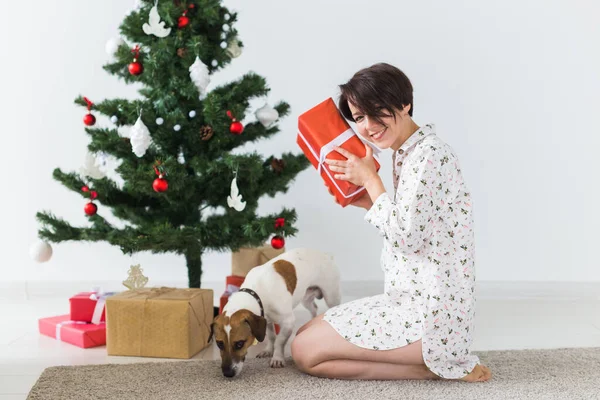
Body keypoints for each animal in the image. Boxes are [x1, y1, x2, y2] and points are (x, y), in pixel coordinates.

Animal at [210, 247, 342, 378]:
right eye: (219, 344)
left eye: (240, 344)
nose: (227, 373)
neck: (257, 292)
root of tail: (326, 254)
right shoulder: (265, 319)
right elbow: (271, 336)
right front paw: (268, 350)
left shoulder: (288, 322)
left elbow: (279, 340)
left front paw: (277, 357)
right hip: (306, 299)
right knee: (314, 308)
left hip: (331, 297)